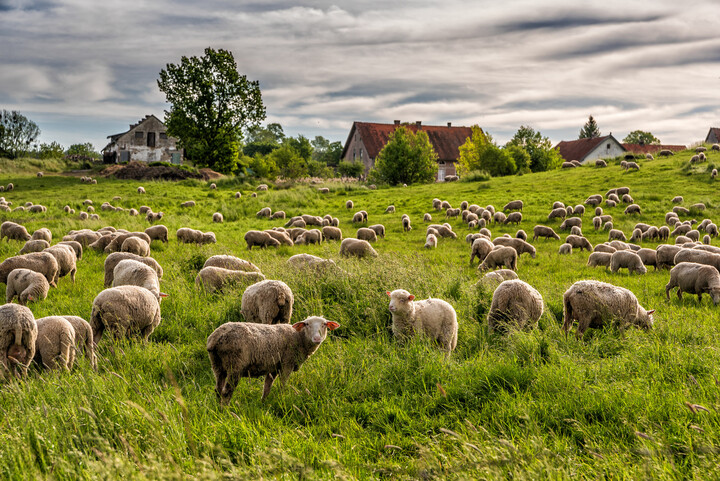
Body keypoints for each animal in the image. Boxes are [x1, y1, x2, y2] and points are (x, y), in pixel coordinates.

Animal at [204, 316, 336, 402]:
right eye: (307, 324)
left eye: (324, 324)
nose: (317, 338)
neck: (299, 337)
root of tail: (215, 337)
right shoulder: (287, 363)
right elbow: (282, 384)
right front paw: (282, 397)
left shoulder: (273, 367)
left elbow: (267, 387)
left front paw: (263, 403)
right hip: (235, 365)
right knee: (226, 392)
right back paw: (225, 411)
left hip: (217, 365)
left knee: (218, 390)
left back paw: (218, 410)